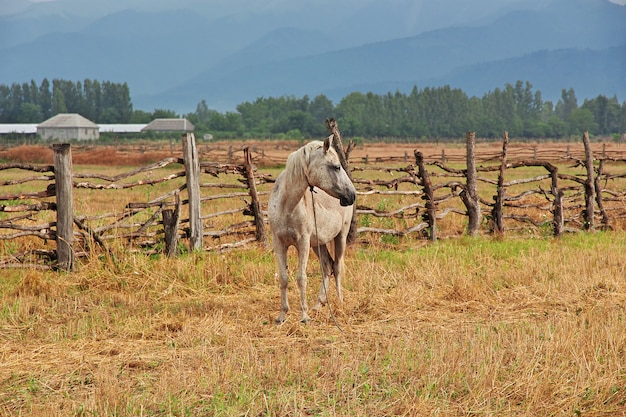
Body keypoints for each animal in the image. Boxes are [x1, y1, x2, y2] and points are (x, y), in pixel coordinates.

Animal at [266, 135, 356, 324]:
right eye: (336, 167)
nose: (352, 195)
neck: (287, 205)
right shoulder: (278, 243)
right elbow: (283, 278)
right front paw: (282, 315)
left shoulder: (303, 243)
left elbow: (301, 278)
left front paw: (304, 316)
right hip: (318, 244)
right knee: (327, 266)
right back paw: (318, 304)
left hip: (340, 237)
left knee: (337, 267)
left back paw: (339, 301)